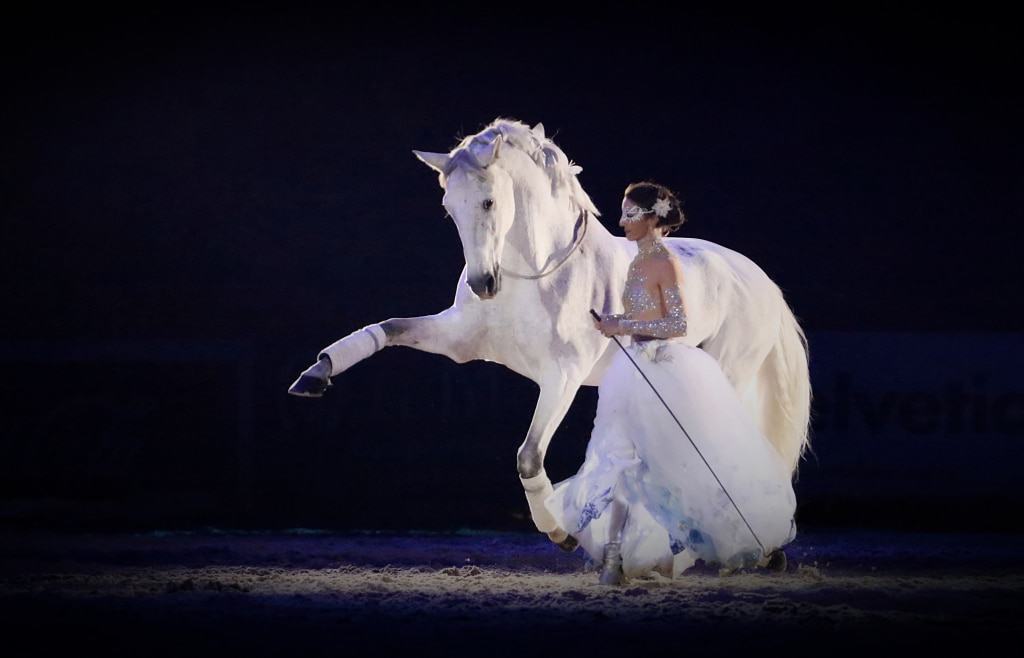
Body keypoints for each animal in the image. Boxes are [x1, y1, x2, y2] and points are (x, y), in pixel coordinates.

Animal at [288, 117, 812, 550]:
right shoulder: (458, 341)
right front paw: (315, 374)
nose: (483, 284)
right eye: (448, 207)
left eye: (489, 201)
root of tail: (758, 278)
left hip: (727, 374)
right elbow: (389, 328)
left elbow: (528, 456)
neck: (531, 277)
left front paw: (561, 533)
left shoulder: (562, 376)